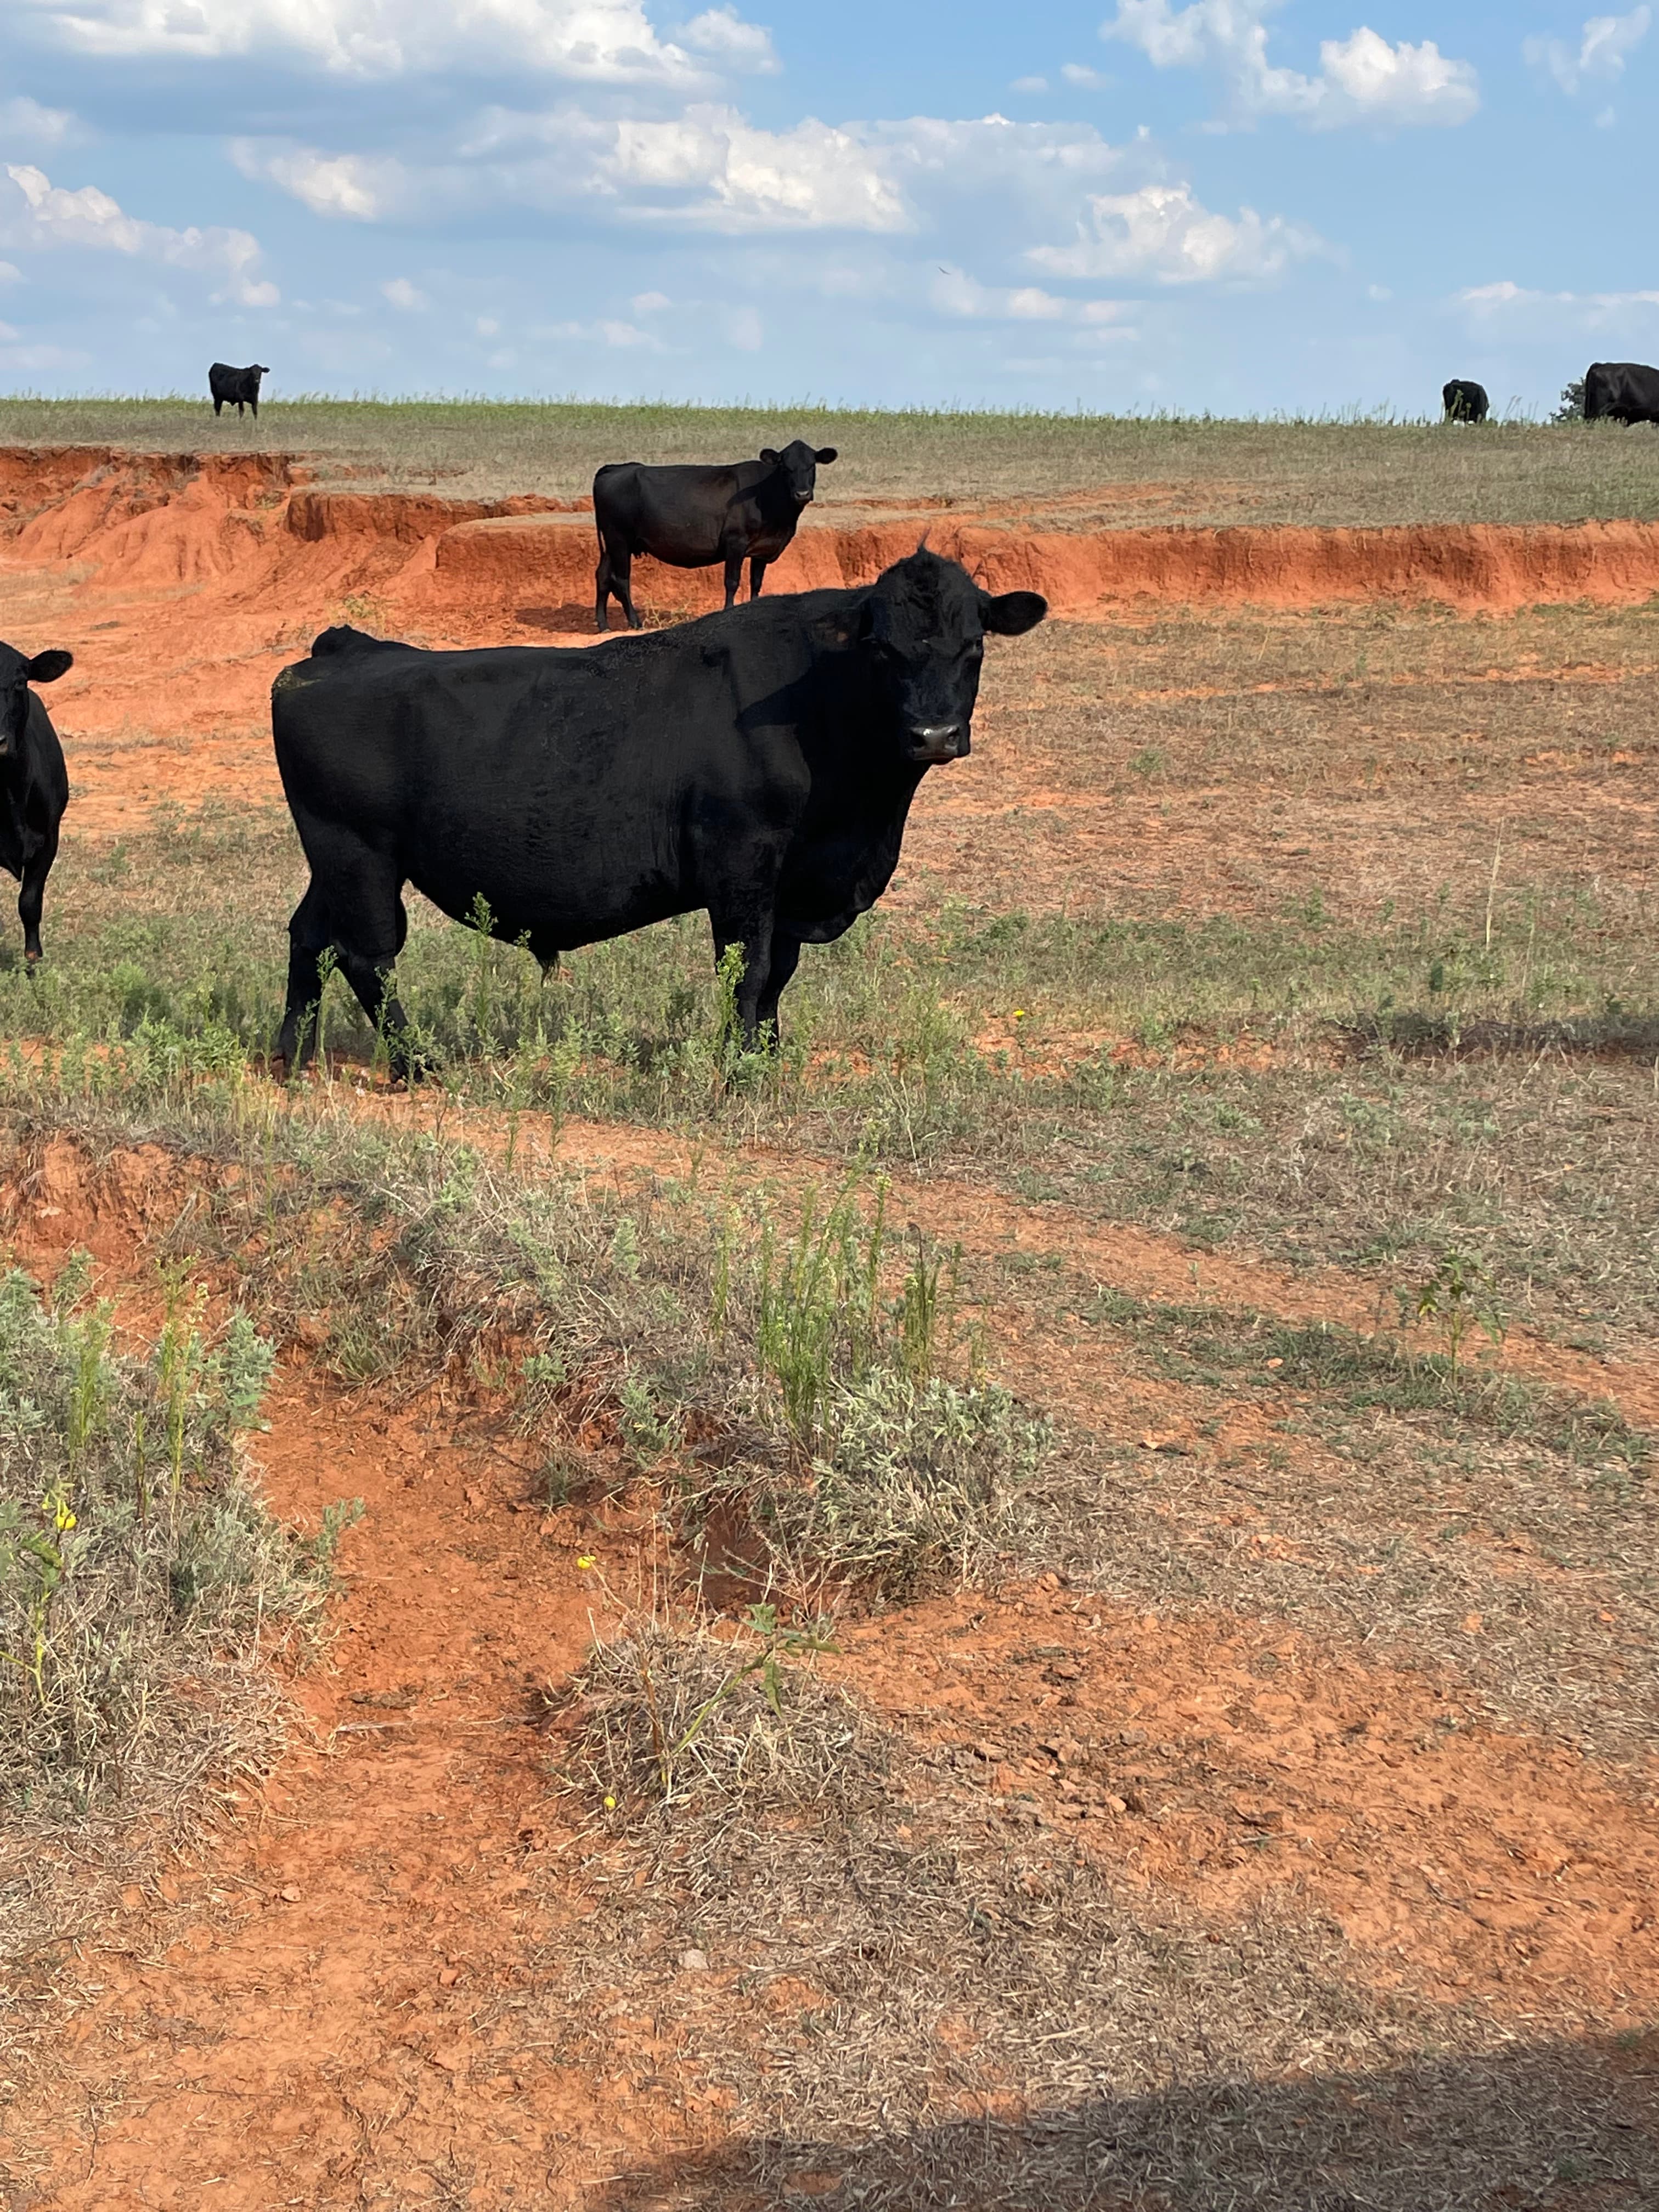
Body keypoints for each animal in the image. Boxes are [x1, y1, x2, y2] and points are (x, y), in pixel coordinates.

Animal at [269, 549, 1046, 1076]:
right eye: (881, 648)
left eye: (975, 646)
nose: (934, 735)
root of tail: (344, 649)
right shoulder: (743, 864)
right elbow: (749, 969)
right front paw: (739, 1068)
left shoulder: (791, 882)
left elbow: (780, 972)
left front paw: (766, 1056)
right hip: (359, 856)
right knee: (368, 954)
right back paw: (416, 1065)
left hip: (334, 863)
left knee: (311, 936)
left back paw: (291, 1057)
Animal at [593, 439, 838, 631]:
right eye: (786, 467)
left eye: (811, 466)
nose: (802, 493)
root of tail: (616, 468)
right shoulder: (735, 542)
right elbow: (732, 581)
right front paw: (728, 612)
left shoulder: (762, 549)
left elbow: (757, 583)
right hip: (619, 538)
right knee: (621, 579)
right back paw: (635, 622)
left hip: (612, 543)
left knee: (603, 576)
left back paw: (604, 625)